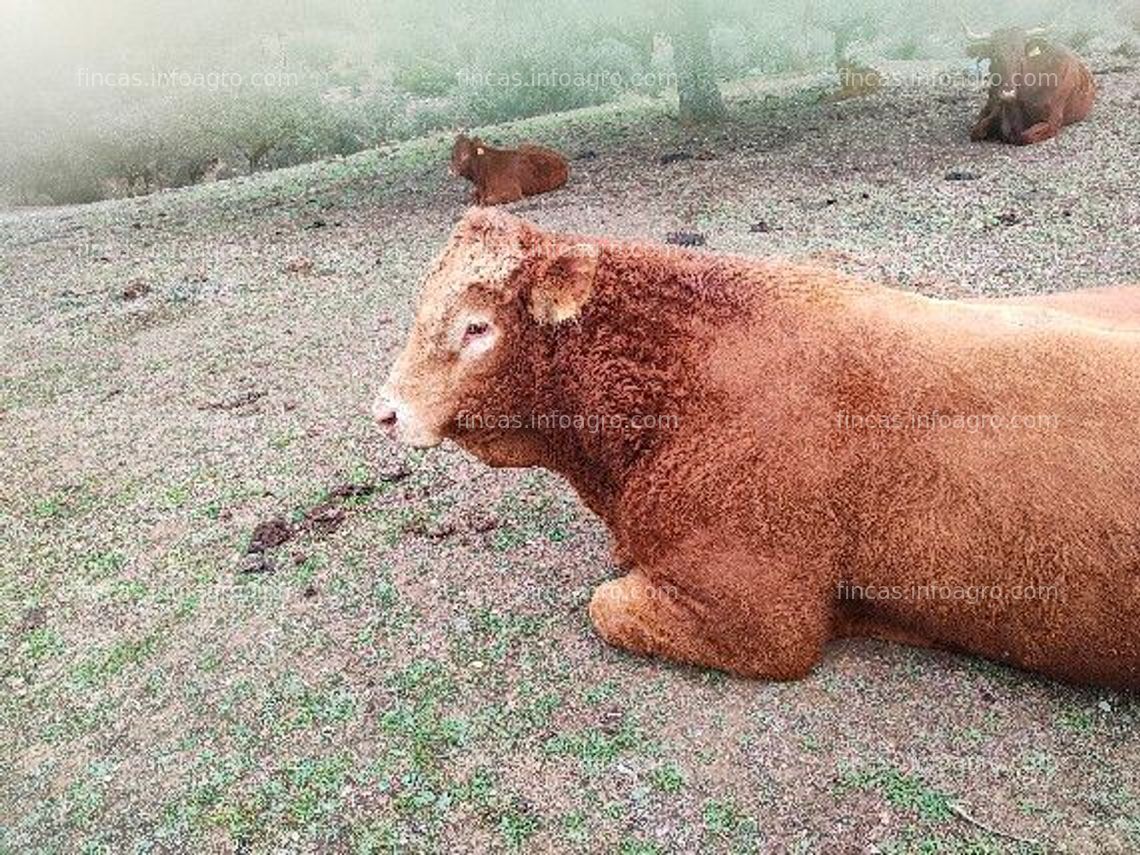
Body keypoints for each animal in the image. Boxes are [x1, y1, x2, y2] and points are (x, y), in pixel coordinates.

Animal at [962, 24, 1094, 145]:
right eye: (995, 56)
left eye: (1021, 57)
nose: (1007, 93)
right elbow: (977, 131)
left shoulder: (1053, 121)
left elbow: (1025, 136)